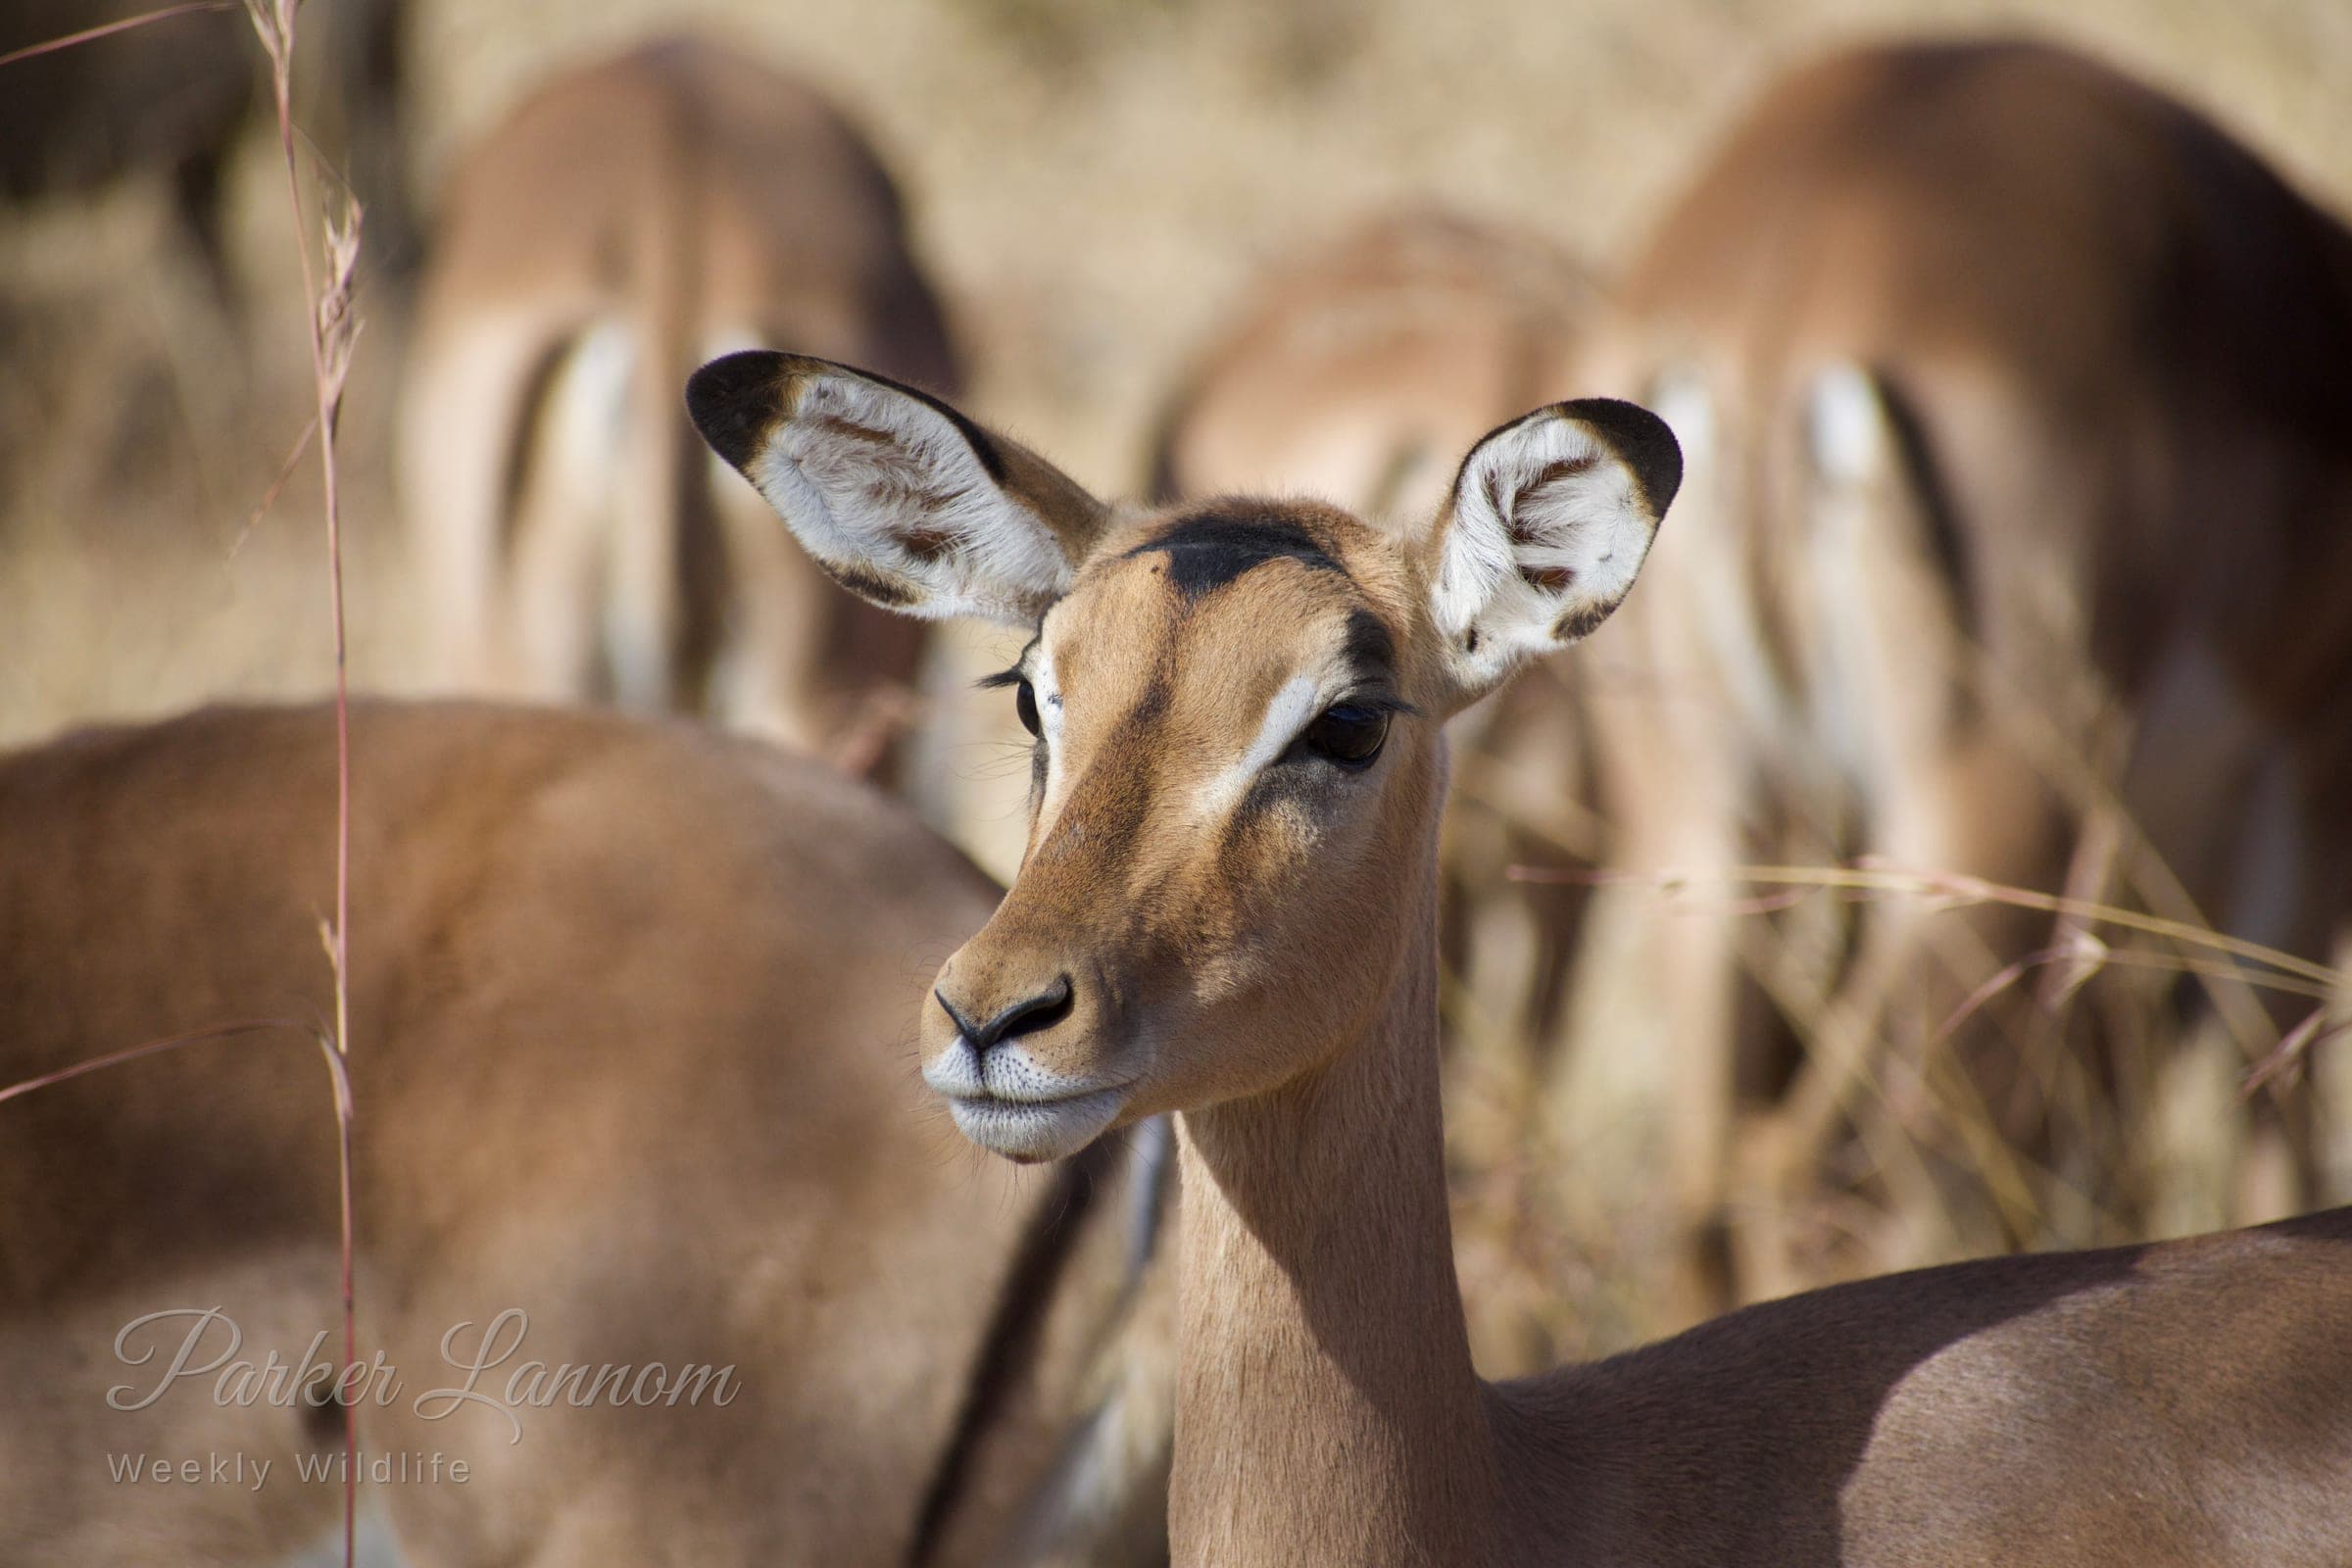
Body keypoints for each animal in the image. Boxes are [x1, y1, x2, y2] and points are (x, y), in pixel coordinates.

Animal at [1568, 38, 2352, 1304]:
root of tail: (1781, 273)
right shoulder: (2309, 797)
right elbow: (2275, 1111)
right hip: (1984, 814)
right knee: (1829, 1176)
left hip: (1710, 825)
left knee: (1712, 1192)